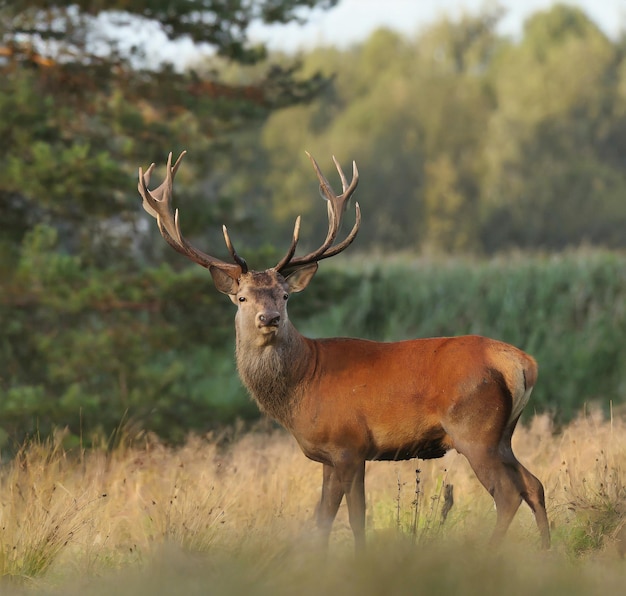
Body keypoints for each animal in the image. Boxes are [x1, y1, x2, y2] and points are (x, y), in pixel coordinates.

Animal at [136, 151, 544, 552]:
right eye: (242, 298)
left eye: (284, 296)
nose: (269, 318)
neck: (302, 386)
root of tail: (522, 363)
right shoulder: (327, 455)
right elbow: (322, 520)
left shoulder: (350, 446)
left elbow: (356, 518)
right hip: (502, 434)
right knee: (534, 484)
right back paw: (546, 549)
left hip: (474, 429)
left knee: (509, 494)